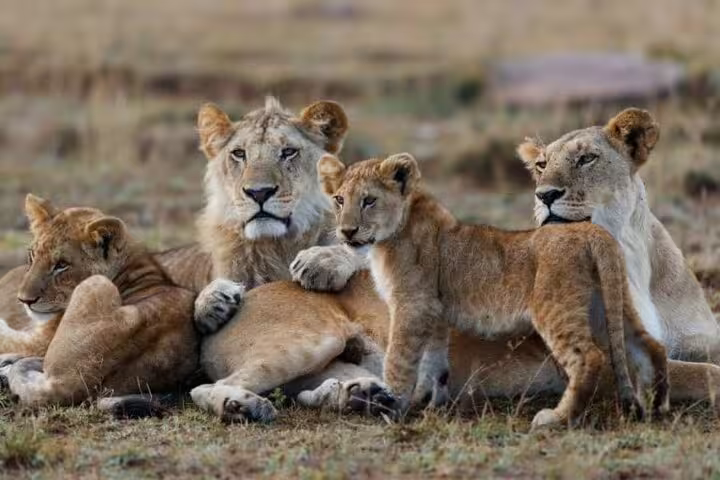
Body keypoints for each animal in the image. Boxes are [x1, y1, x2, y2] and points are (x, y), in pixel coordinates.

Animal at [0, 195, 198, 407]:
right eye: (32, 256)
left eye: (62, 265)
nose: (24, 300)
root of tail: (70, 383)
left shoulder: (41, 340)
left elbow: (10, 341)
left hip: (97, 283)